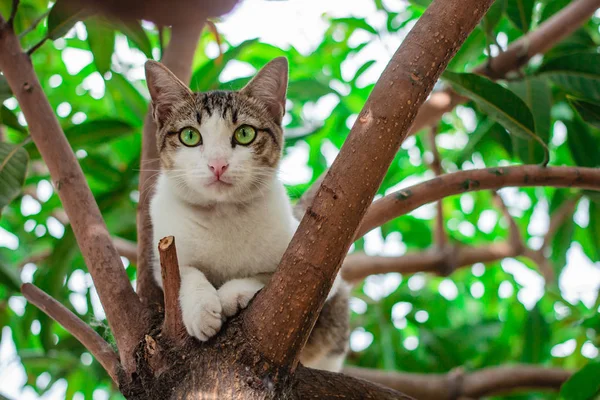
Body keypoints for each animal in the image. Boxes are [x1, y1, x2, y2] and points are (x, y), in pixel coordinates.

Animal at [145, 56, 350, 372]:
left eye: (244, 133)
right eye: (190, 135)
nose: (218, 164)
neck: (223, 214)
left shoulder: (327, 275)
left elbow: (269, 276)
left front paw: (230, 295)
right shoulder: (163, 250)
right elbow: (184, 272)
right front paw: (201, 308)